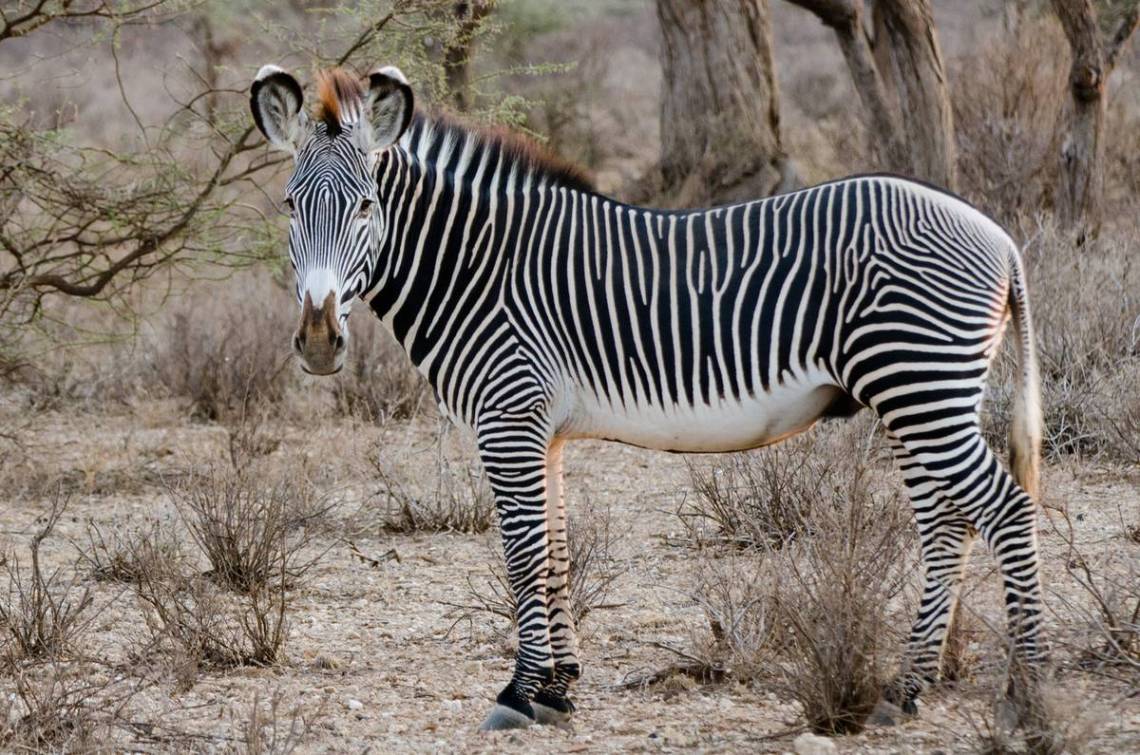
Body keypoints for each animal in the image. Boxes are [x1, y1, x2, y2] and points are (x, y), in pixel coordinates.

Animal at [250, 64, 1045, 732]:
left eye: (366, 206)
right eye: (288, 206)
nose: (318, 340)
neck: (478, 267)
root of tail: (997, 234)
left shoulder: (508, 417)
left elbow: (522, 553)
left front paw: (517, 695)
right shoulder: (544, 431)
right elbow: (555, 551)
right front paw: (559, 691)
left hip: (920, 385)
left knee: (1004, 510)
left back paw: (1024, 693)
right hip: (917, 396)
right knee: (947, 524)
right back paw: (904, 689)